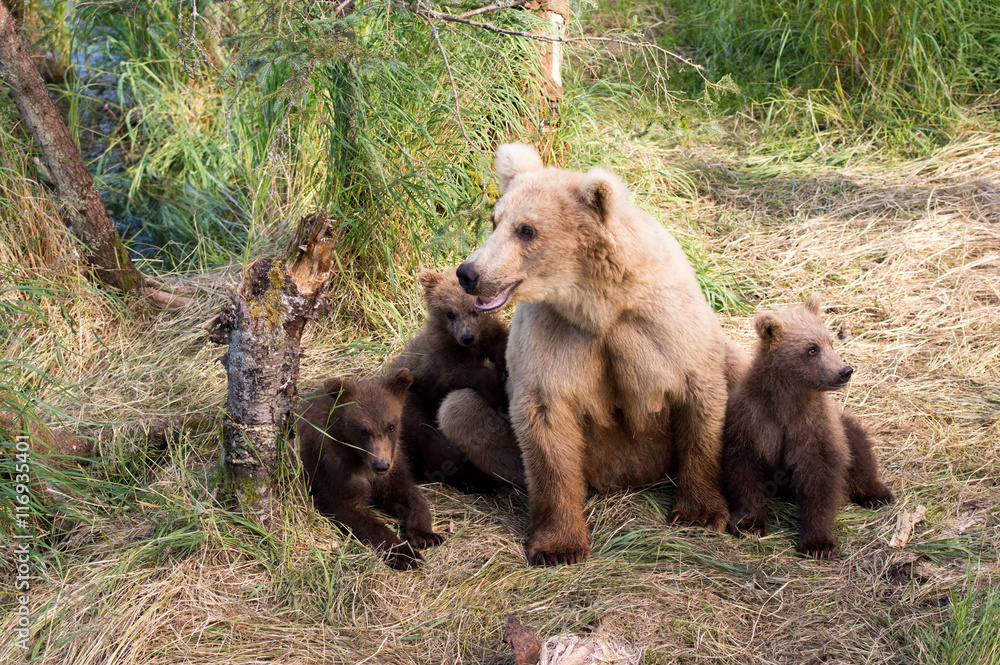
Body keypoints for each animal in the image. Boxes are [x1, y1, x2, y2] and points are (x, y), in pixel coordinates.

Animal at [296, 368, 444, 570]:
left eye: (391, 425)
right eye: (362, 430)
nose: (380, 465)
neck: (361, 460)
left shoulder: (393, 465)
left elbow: (409, 495)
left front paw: (426, 536)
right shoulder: (333, 470)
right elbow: (352, 511)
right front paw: (405, 554)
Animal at [388, 267, 510, 490]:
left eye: (474, 310)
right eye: (450, 313)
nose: (467, 337)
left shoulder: (486, 333)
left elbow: (500, 341)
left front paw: (504, 367)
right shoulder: (443, 354)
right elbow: (461, 374)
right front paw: (499, 395)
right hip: (409, 404)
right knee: (433, 444)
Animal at [449, 143, 746, 566]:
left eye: (527, 230)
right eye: (495, 221)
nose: (469, 273)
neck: (599, 303)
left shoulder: (662, 325)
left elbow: (699, 398)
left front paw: (701, 512)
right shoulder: (555, 335)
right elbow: (546, 423)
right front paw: (558, 546)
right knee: (459, 409)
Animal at [722, 294, 895, 558]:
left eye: (830, 342)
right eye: (812, 349)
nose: (845, 371)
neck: (787, 402)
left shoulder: (813, 427)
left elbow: (820, 479)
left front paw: (818, 543)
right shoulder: (751, 420)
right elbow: (744, 471)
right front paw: (749, 524)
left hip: (843, 426)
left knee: (860, 449)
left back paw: (877, 494)